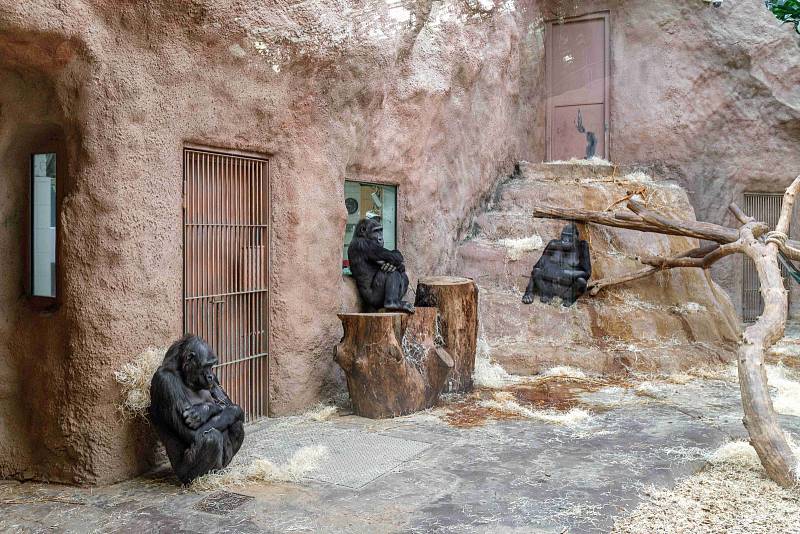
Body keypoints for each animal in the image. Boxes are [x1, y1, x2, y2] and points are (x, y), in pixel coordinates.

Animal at [148, 338, 244, 488]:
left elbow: (228, 403)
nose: (210, 376)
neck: (182, 373)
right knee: (211, 437)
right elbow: (193, 433)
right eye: (206, 365)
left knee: (236, 422)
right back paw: (198, 479)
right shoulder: (165, 381)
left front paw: (203, 411)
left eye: (212, 365)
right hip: (183, 474)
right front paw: (205, 410)